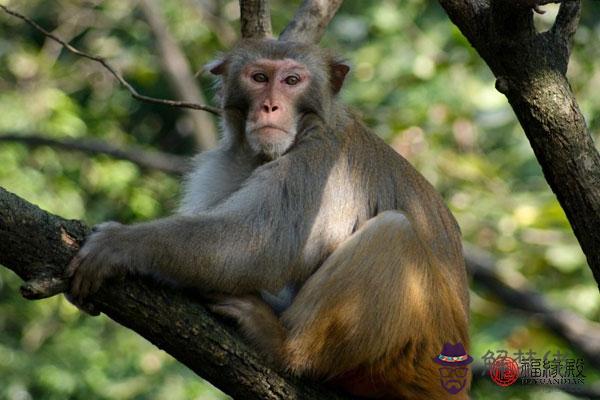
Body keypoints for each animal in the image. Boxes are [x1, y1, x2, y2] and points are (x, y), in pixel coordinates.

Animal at [69, 38, 468, 400]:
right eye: (259, 77)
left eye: (292, 80)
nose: (270, 105)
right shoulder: (226, 164)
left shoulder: (321, 164)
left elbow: (260, 245)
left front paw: (120, 246)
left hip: (413, 358)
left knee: (393, 232)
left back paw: (286, 348)